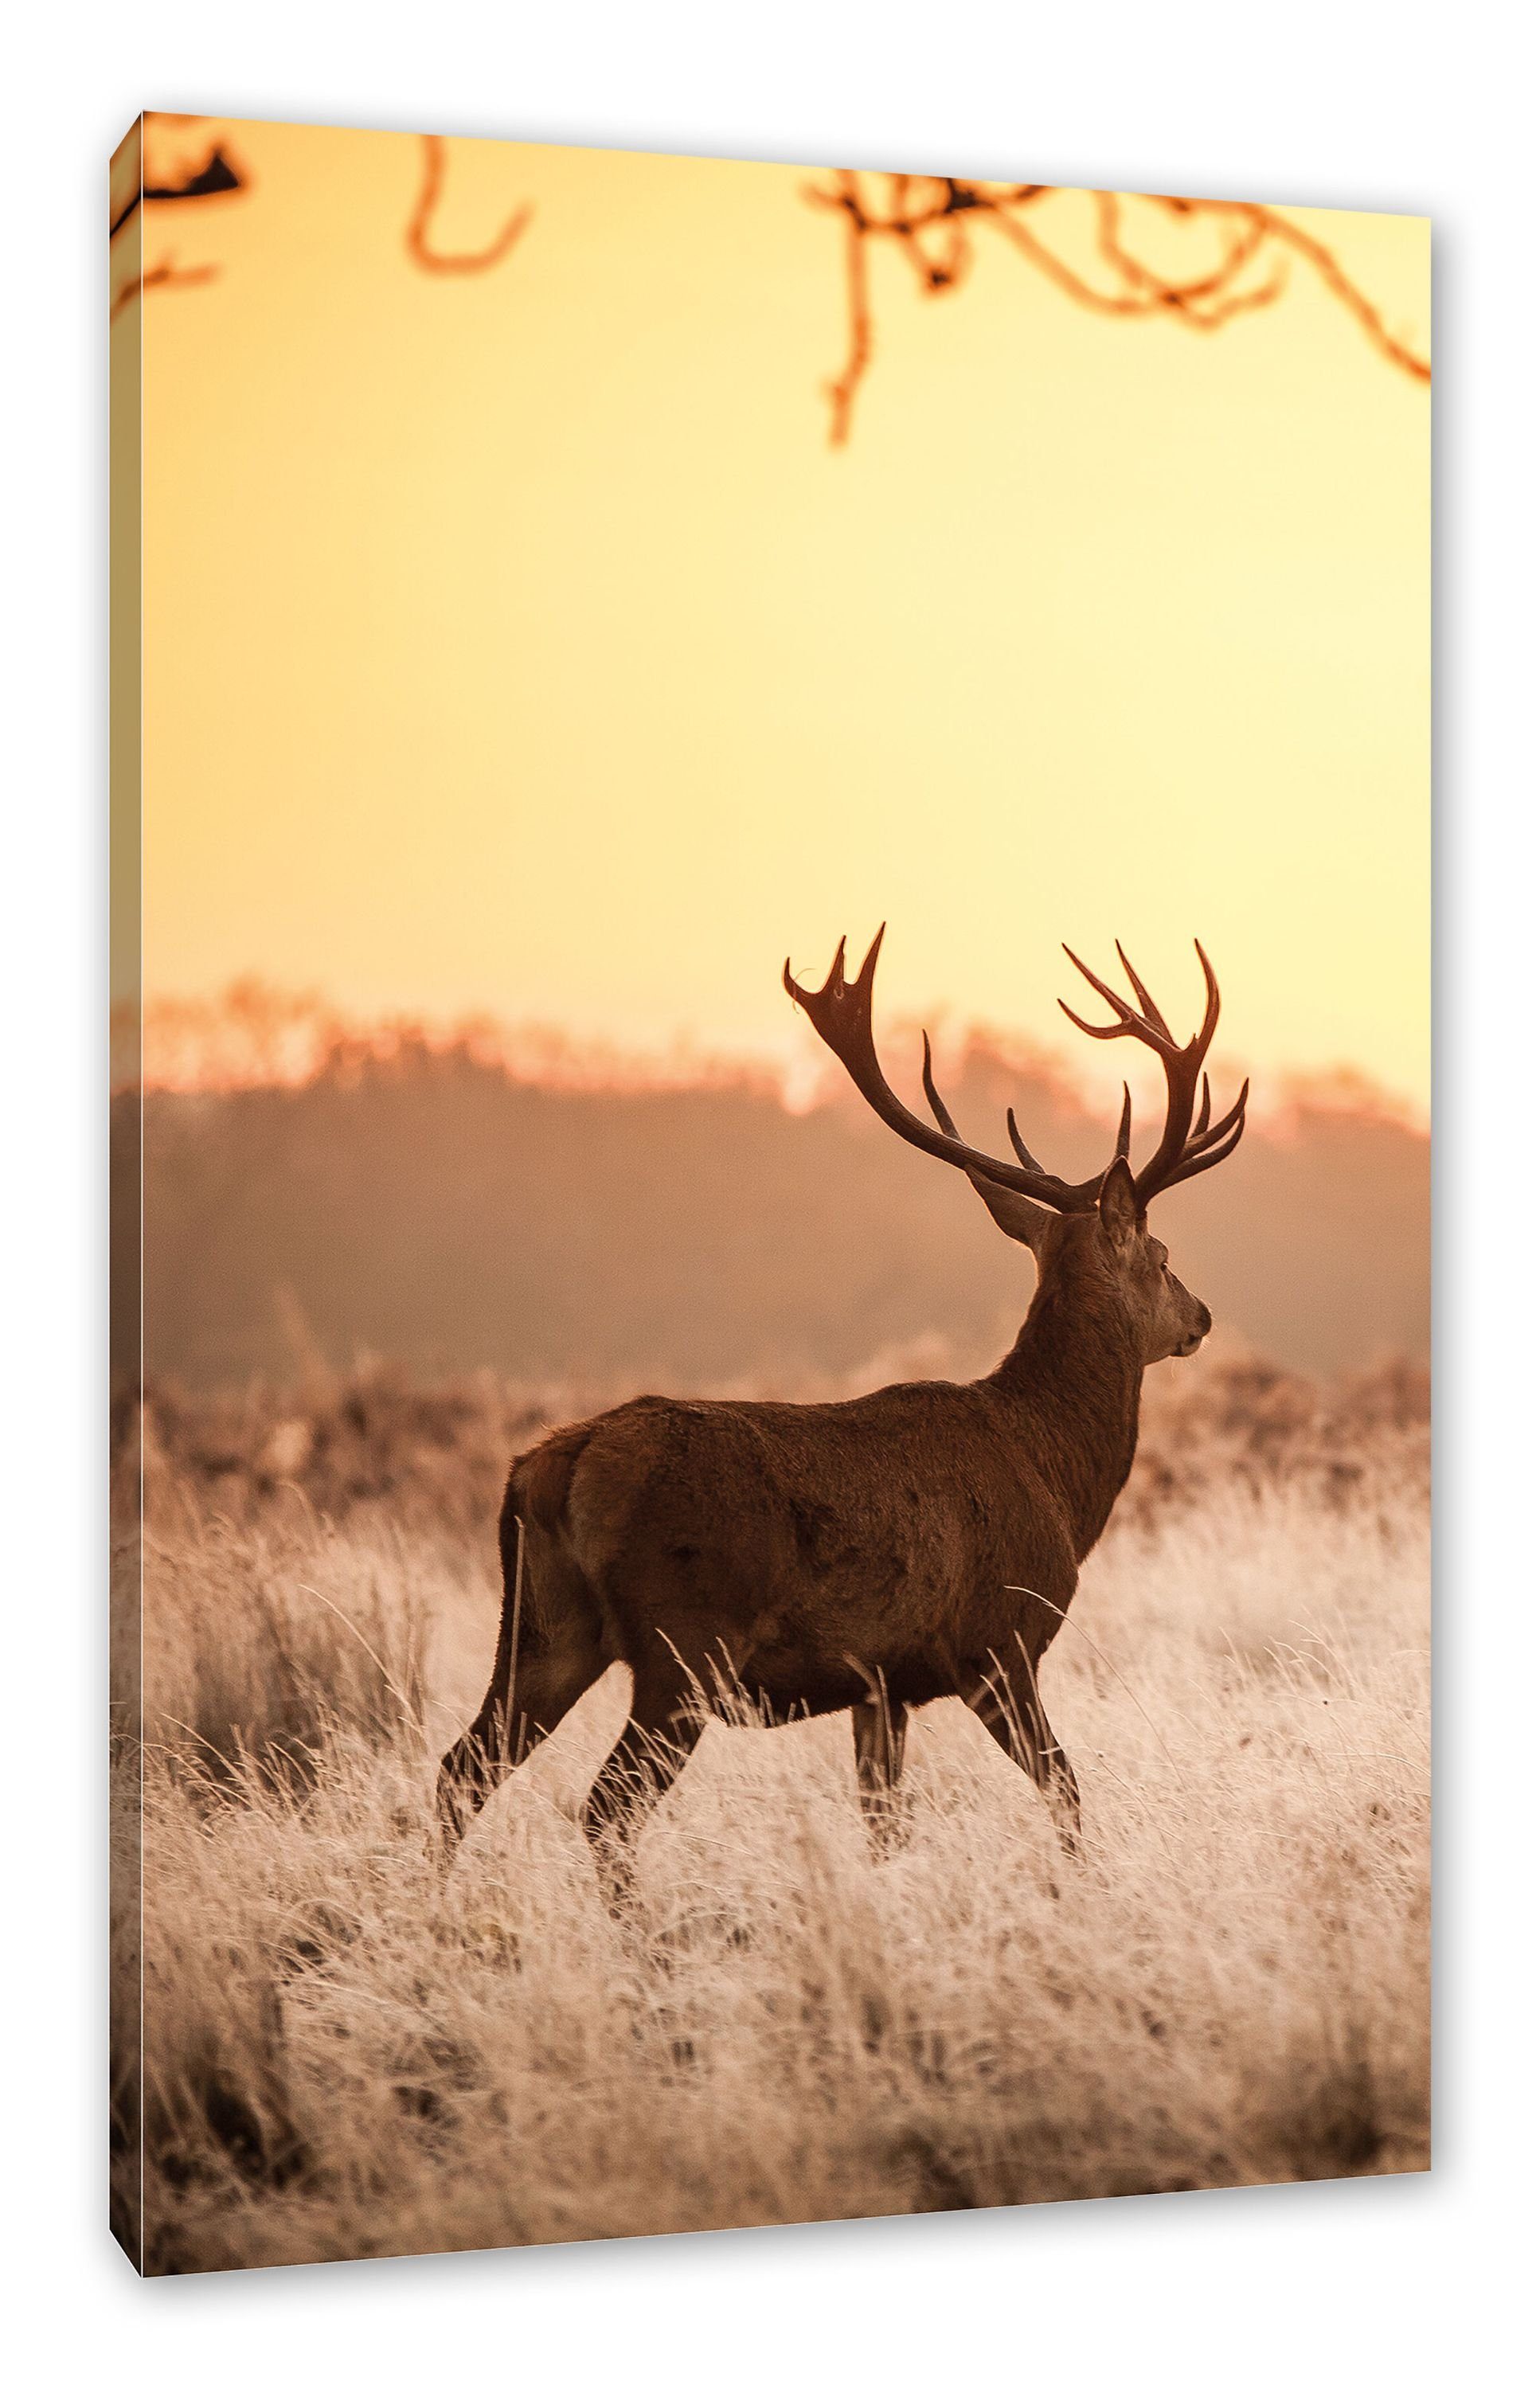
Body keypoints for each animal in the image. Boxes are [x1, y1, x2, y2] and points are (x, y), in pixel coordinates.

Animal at [429, 932, 1241, 1883]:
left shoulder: (881, 1683)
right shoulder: (996, 1643)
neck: (1054, 1470)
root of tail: (553, 1470)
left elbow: (885, 1825)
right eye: (1161, 1254)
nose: (1201, 1316)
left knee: (461, 1770)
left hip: (542, 1629)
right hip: (684, 1644)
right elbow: (1068, 1792)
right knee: (603, 1808)